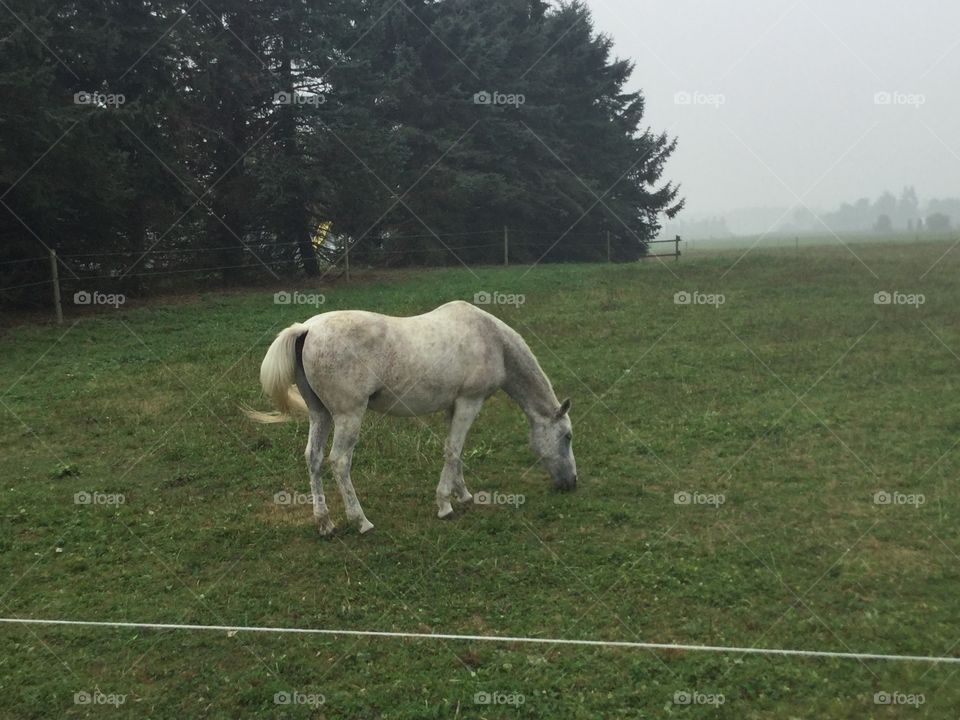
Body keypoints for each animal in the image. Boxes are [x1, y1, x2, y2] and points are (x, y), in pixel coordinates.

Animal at [244, 300, 577, 535]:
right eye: (567, 437)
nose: (571, 483)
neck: (491, 339)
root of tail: (306, 329)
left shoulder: (453, 406)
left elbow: (455, 452)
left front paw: (463, 494)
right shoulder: (469, 402)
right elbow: (453, 450)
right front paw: (445, 505)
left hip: (320, 414)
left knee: (313, 459)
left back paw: (325, 524)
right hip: (349, 415)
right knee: (339, 462)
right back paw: (361, 521)